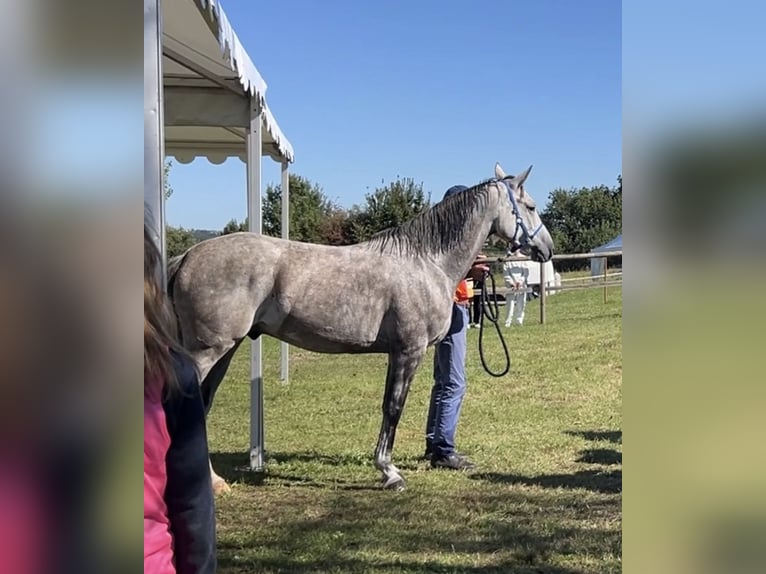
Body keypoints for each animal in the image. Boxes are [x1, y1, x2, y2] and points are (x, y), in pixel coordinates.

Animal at [170, 164, 552, 492]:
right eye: (531, 206)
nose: (547, 248)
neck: (425, 262)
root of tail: (187, 256)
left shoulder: (397, 353)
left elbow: (389, 405)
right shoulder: (408, 351)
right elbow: (393, 408)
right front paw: (389, 472)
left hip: (224, 351)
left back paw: (213, 482)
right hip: (208, 351)